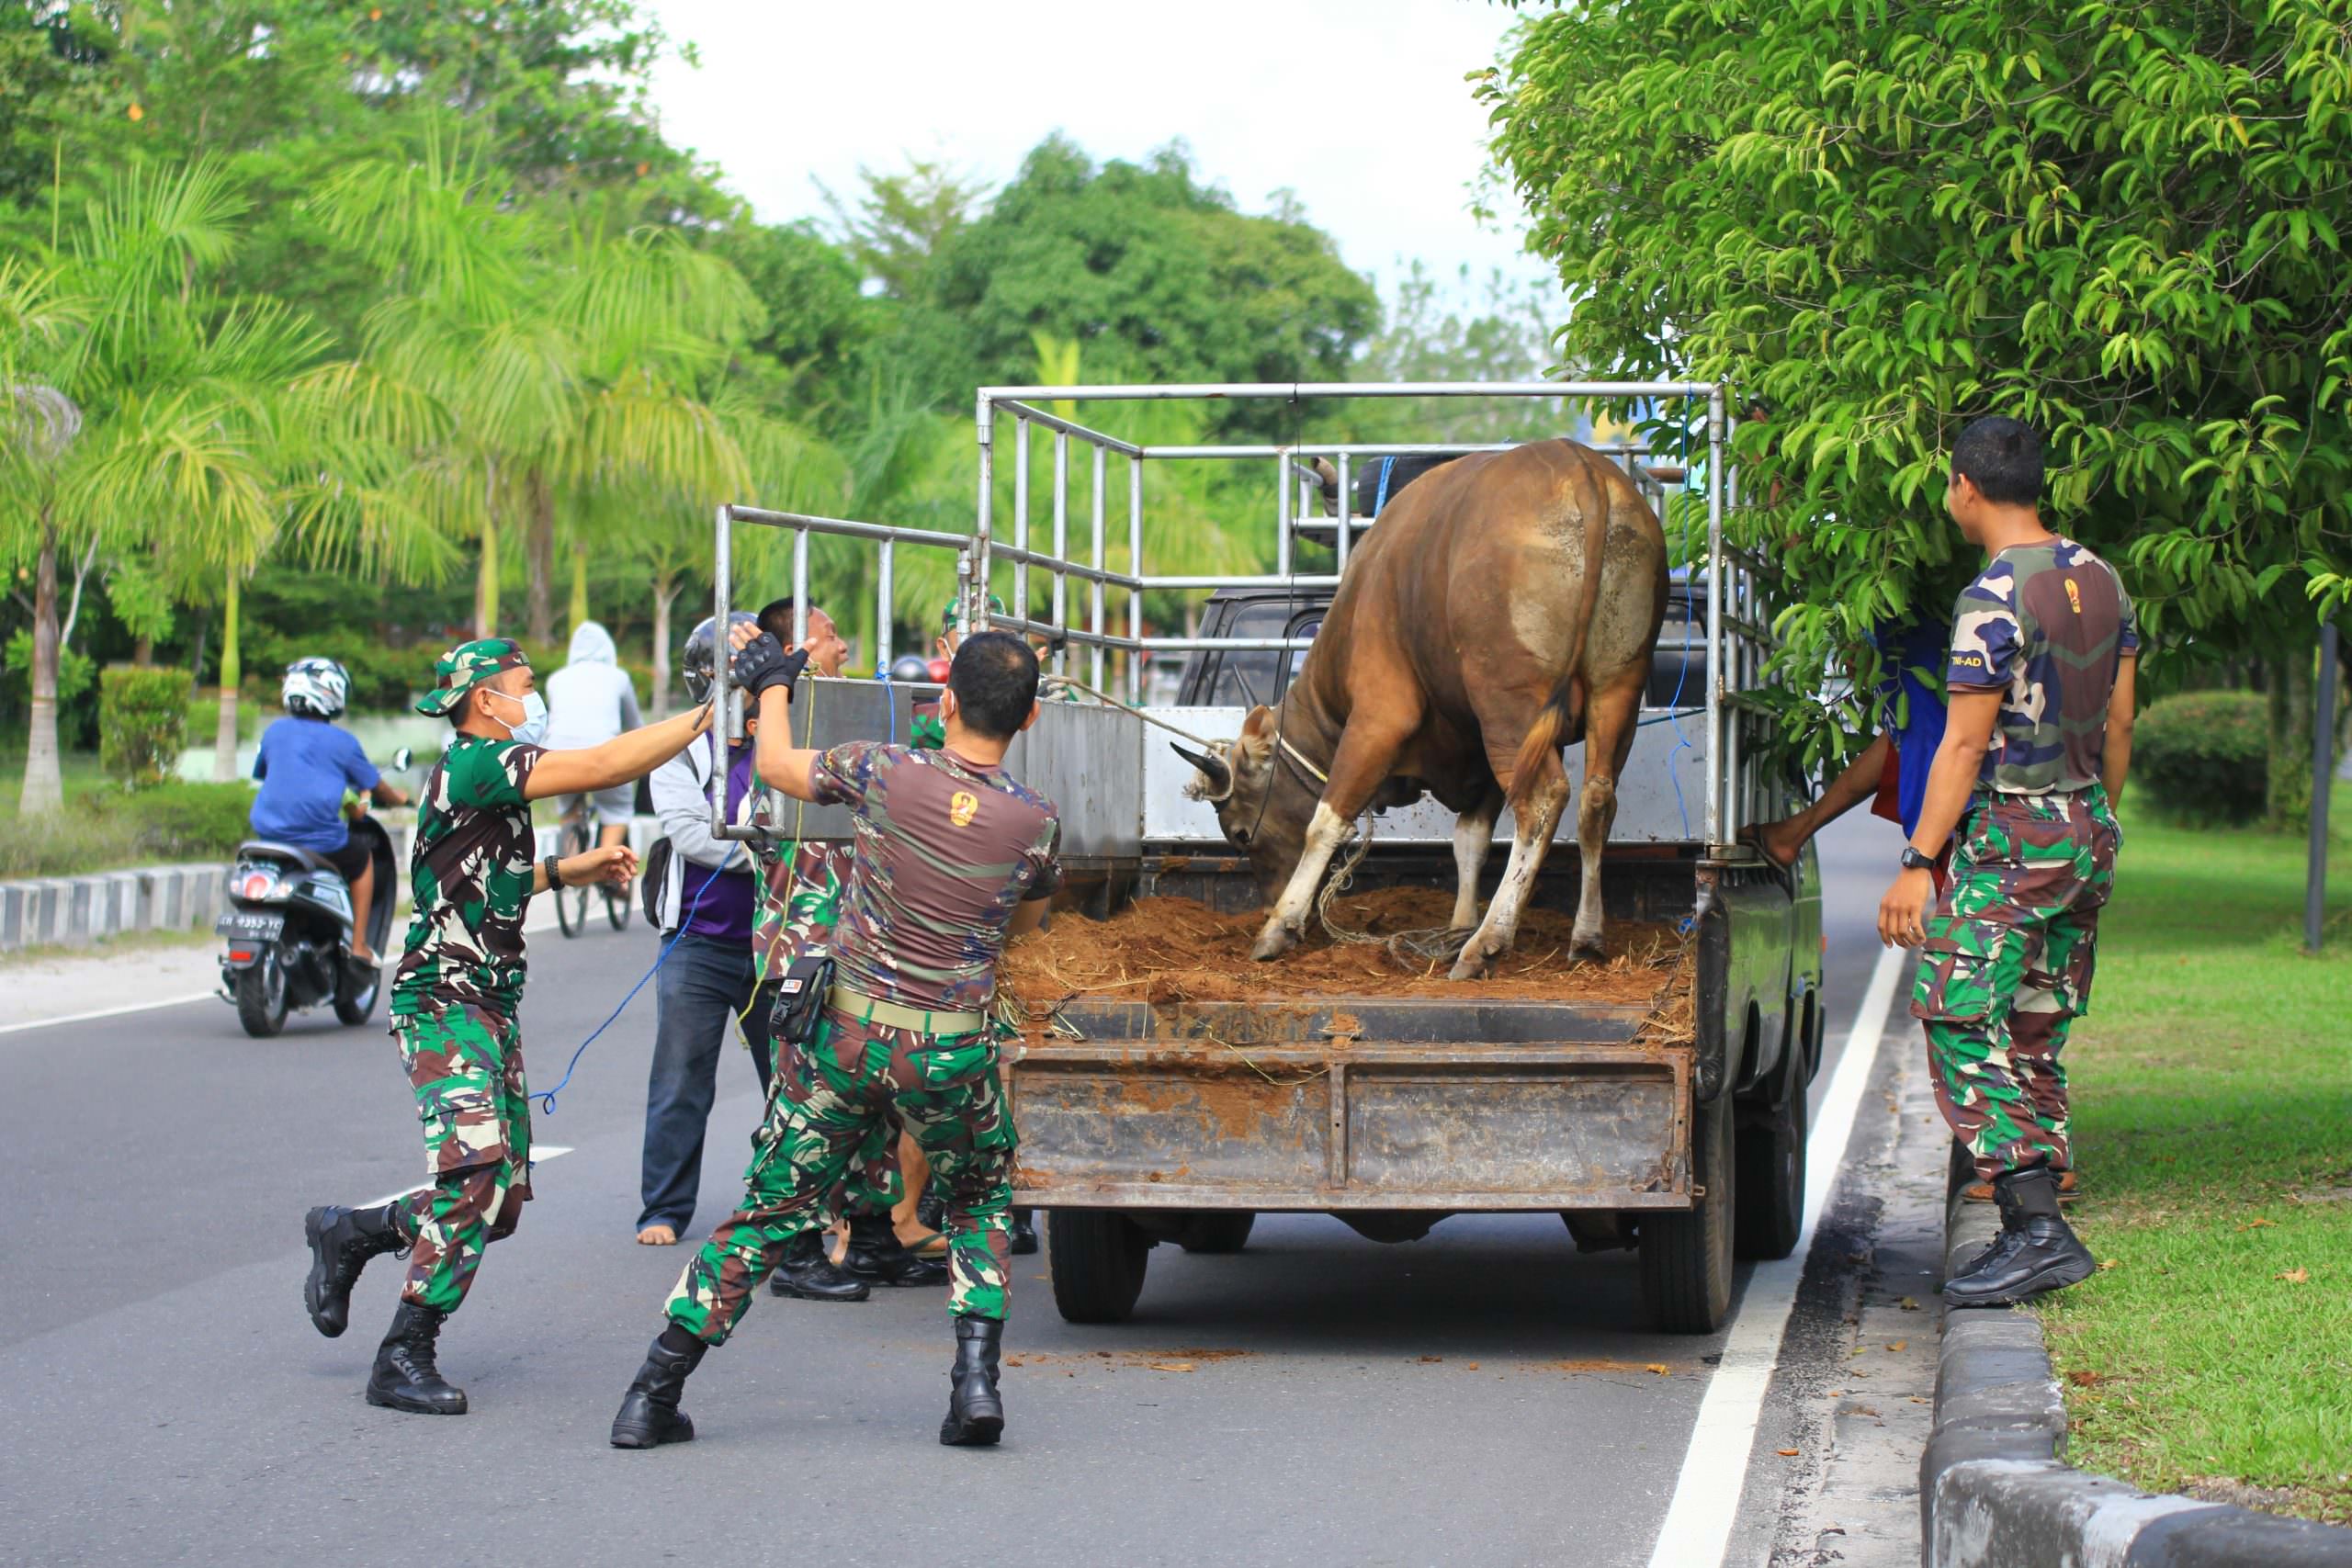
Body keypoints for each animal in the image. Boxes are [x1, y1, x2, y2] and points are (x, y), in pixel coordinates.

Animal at [1170, 439, 1656, 982]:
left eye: (1240, 833)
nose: (1268, 903)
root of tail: (1580, 467)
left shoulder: (1380, 718)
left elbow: (1325, 821)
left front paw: (1280, 926)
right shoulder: (1474, 748)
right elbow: (1470, 840)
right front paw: (1459, 924)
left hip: (1510, 710)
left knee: (1543, 799)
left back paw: (1487, 943)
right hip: (1617, 690)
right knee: (1597, 800)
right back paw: (1586, 937)